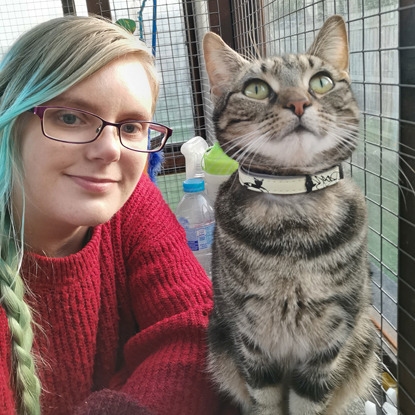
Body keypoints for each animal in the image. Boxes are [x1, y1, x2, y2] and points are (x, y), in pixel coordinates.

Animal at [205, 14, 380, 414]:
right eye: (255, 89)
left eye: (322, 81)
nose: (299, 102)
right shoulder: (250, 339)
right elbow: (265, 401)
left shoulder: (328, 343)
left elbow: (309, 402)